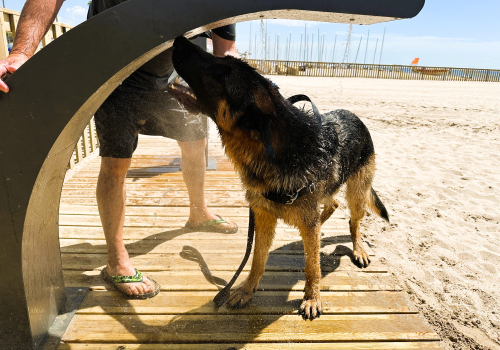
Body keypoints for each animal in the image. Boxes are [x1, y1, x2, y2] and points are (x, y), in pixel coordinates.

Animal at [170, 36, 388, 320]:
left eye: (222, 74)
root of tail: (355, 116)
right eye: (221, 62)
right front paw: (247, 290)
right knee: (329, 207)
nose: (178, 40)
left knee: (353, 220)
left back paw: (358, 247)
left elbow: (312, 267)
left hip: (357, 192)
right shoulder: (263, 216)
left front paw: (312, 297)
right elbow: (256, 260)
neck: (273, 150)